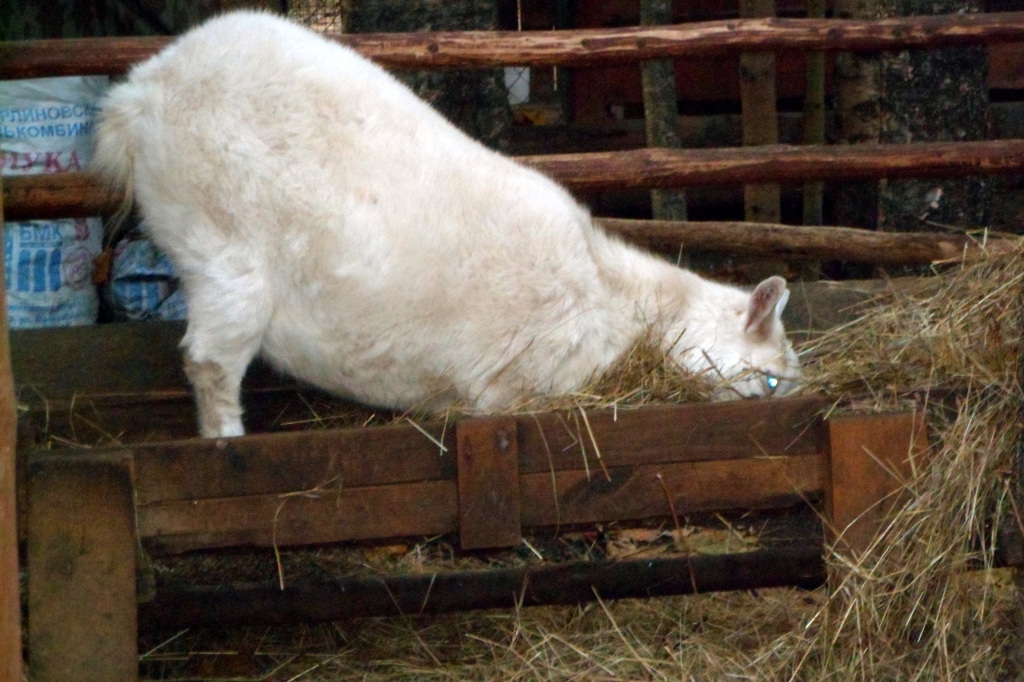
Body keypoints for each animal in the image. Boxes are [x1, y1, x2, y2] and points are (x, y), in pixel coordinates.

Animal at [92, 11, 802, 436]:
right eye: (770, 378)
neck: (612, 298)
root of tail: (138, 92)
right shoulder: (512, 390)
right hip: (222, 249)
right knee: (209, 360)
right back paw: (228, 444)